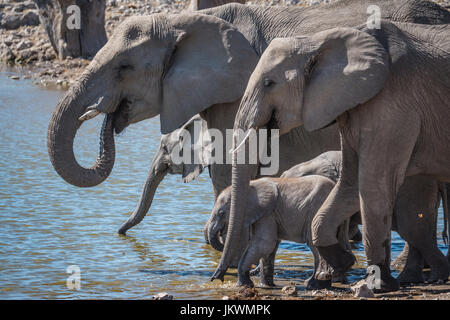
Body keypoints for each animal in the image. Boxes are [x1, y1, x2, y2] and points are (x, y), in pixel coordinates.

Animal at [207, 175, 342, 288]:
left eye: (221, 213)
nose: (216, 279)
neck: (251, 187)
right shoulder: (268, 215)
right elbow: (269, 248)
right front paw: (265, 286)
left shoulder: (268, 213)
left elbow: (264, 244)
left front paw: (244, 285)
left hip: (316, 212)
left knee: (315, 247)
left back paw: (313, 285)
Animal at [227, 19, 450, 290]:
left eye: (269, 83)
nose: (221, 276)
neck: (317, 40)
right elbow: (350, 184)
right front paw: (335, 269)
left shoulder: (394, 105)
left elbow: (373, 186)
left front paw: (376, 285)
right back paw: (426, 278)